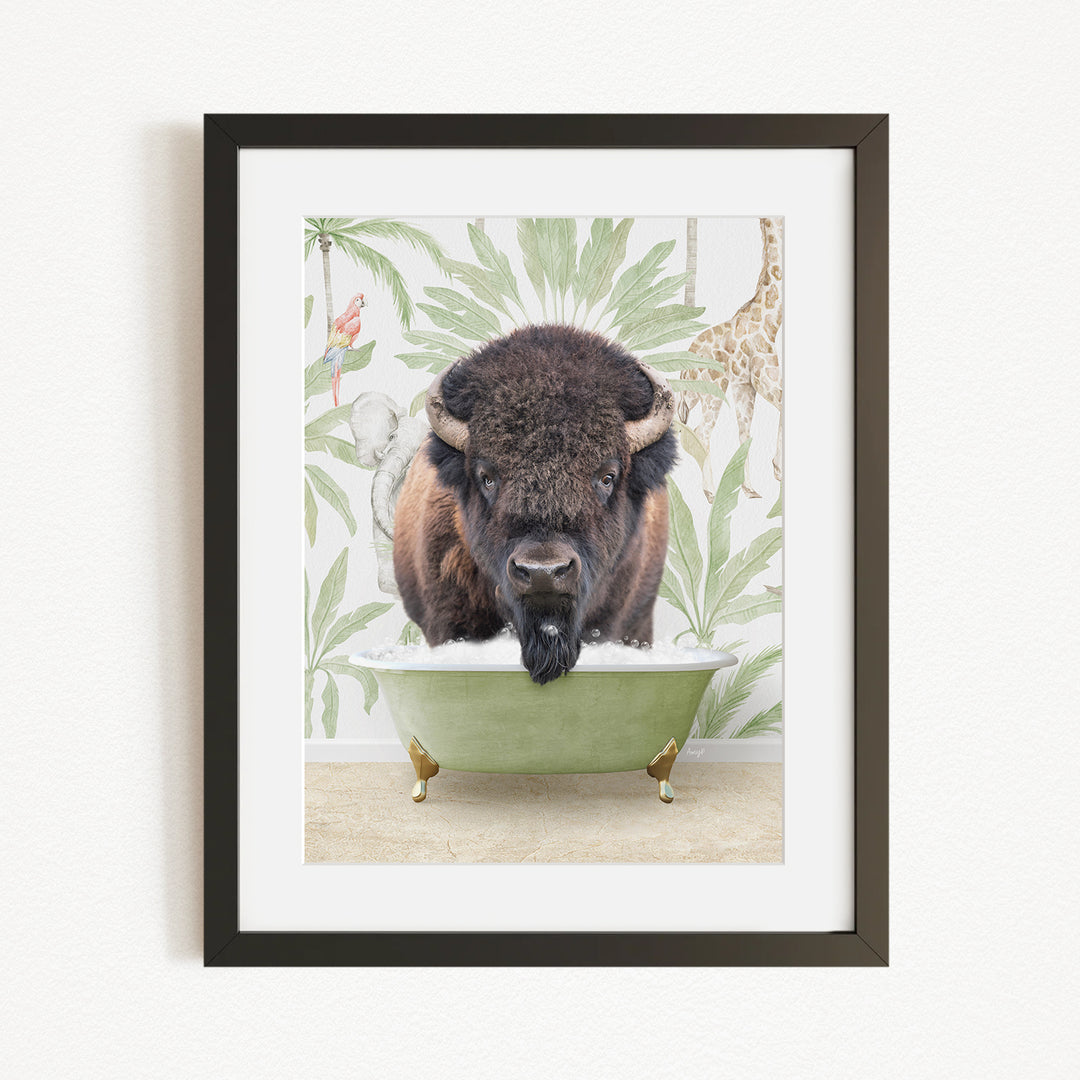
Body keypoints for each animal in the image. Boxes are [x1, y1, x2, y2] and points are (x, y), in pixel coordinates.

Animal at [676, 217, 783, 499]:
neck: (771, 321)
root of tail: (684, 370)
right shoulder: (766, 380)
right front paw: (777, 469)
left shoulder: (744, 386)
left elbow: (745, 435)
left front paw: (751, 487)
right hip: (713, 391)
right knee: (702, 433)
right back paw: (710, 493)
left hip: (695, 396)